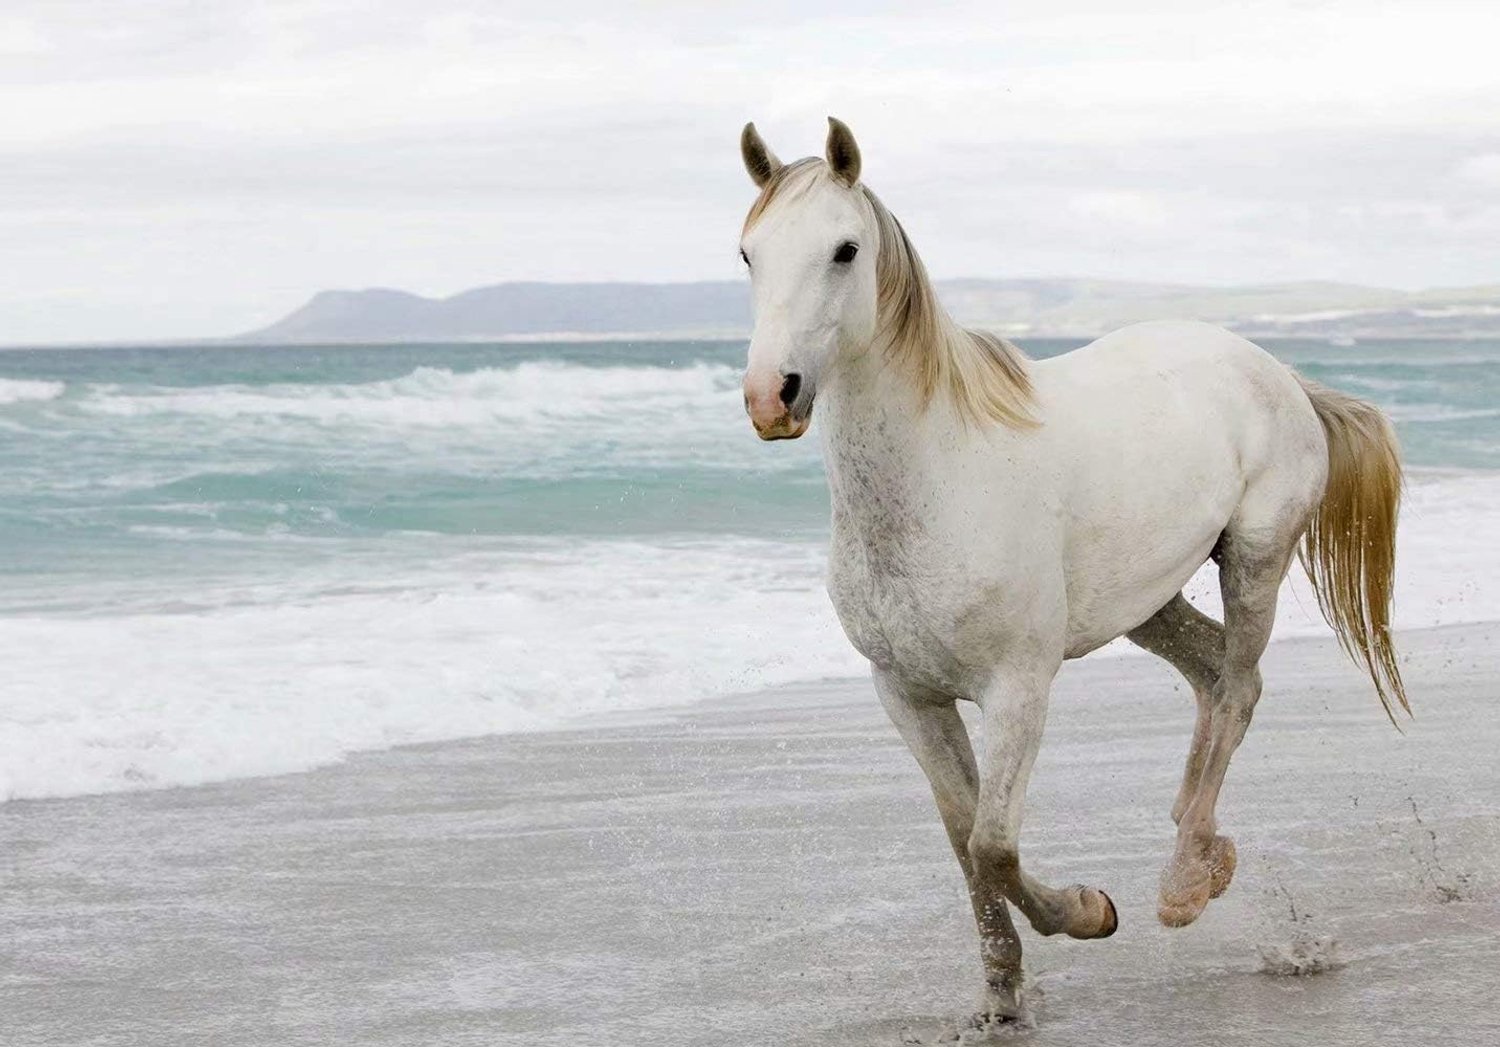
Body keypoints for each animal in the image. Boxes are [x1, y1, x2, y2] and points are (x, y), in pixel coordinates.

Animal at [735, 117, 1407, 1026]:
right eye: (749, 253)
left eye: (844, 249)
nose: (773, 396)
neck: (940, 472)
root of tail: (1275, 370)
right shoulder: (907, 694)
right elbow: (963, 840)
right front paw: (1000, 994)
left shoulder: (1019, 686)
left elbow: (993, 842)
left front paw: (1091, 912)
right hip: (1148, 600)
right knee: (1215, 676)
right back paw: (1202, 848)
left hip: (1255, 560)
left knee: (1237, 687)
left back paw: (1183, 881)